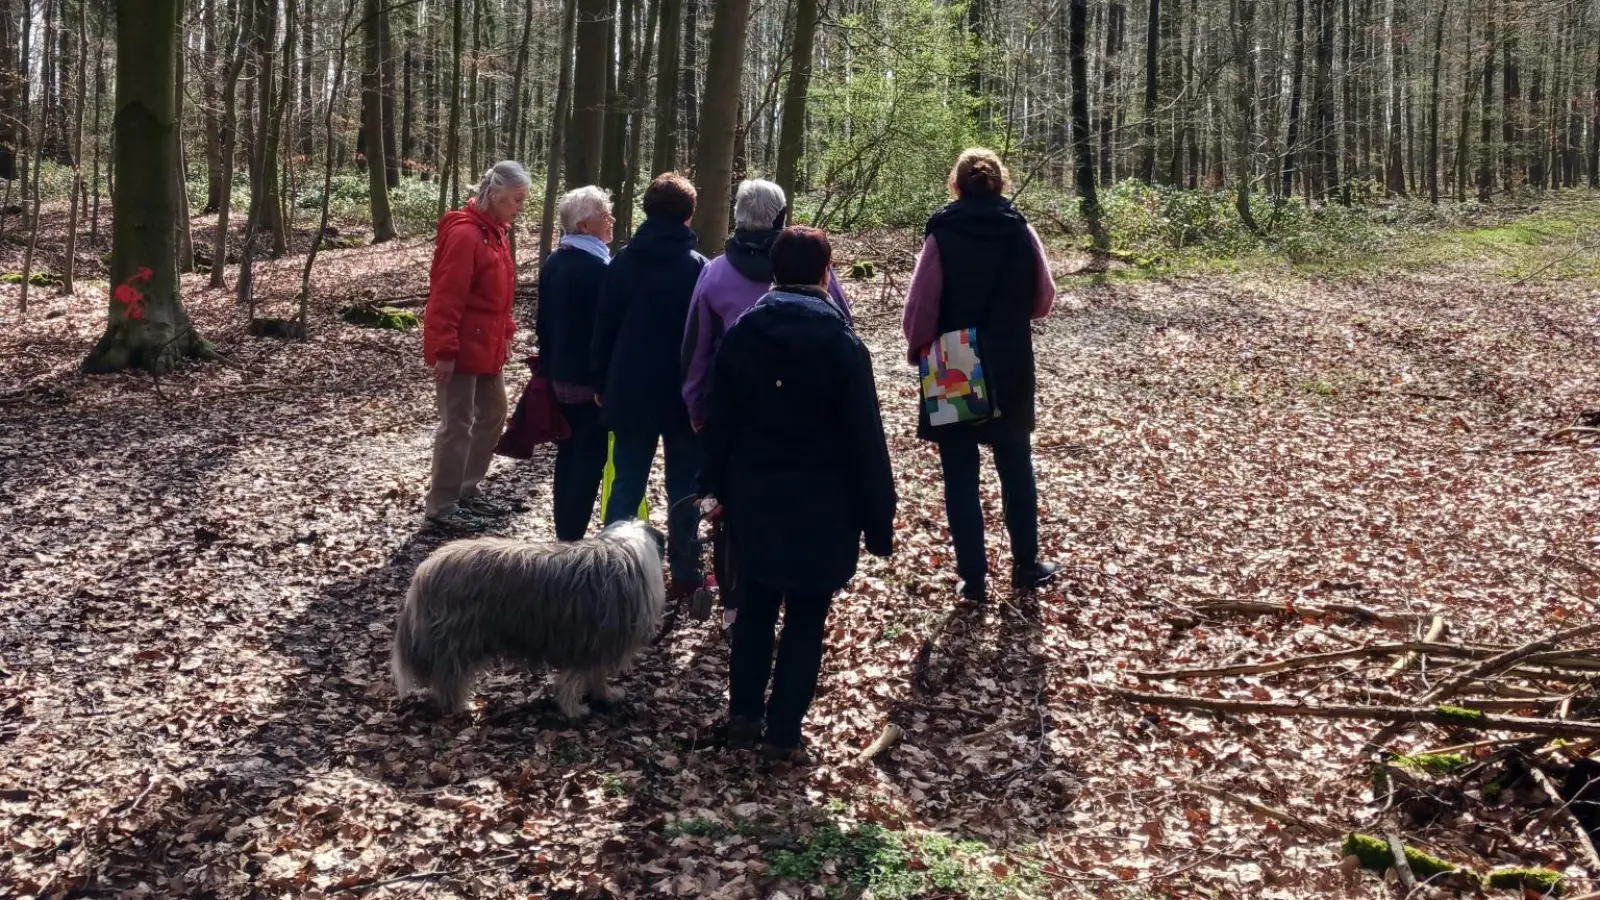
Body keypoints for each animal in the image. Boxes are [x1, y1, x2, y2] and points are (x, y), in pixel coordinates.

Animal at [390, 518, 665, 714]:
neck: (627, 551)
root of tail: (425, 570)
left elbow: (593, 675)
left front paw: (603, 695)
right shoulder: (589, 642)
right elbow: (576, 678)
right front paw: (575, 708)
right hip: (459, 639)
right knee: (449, 677)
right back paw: (460, 705)